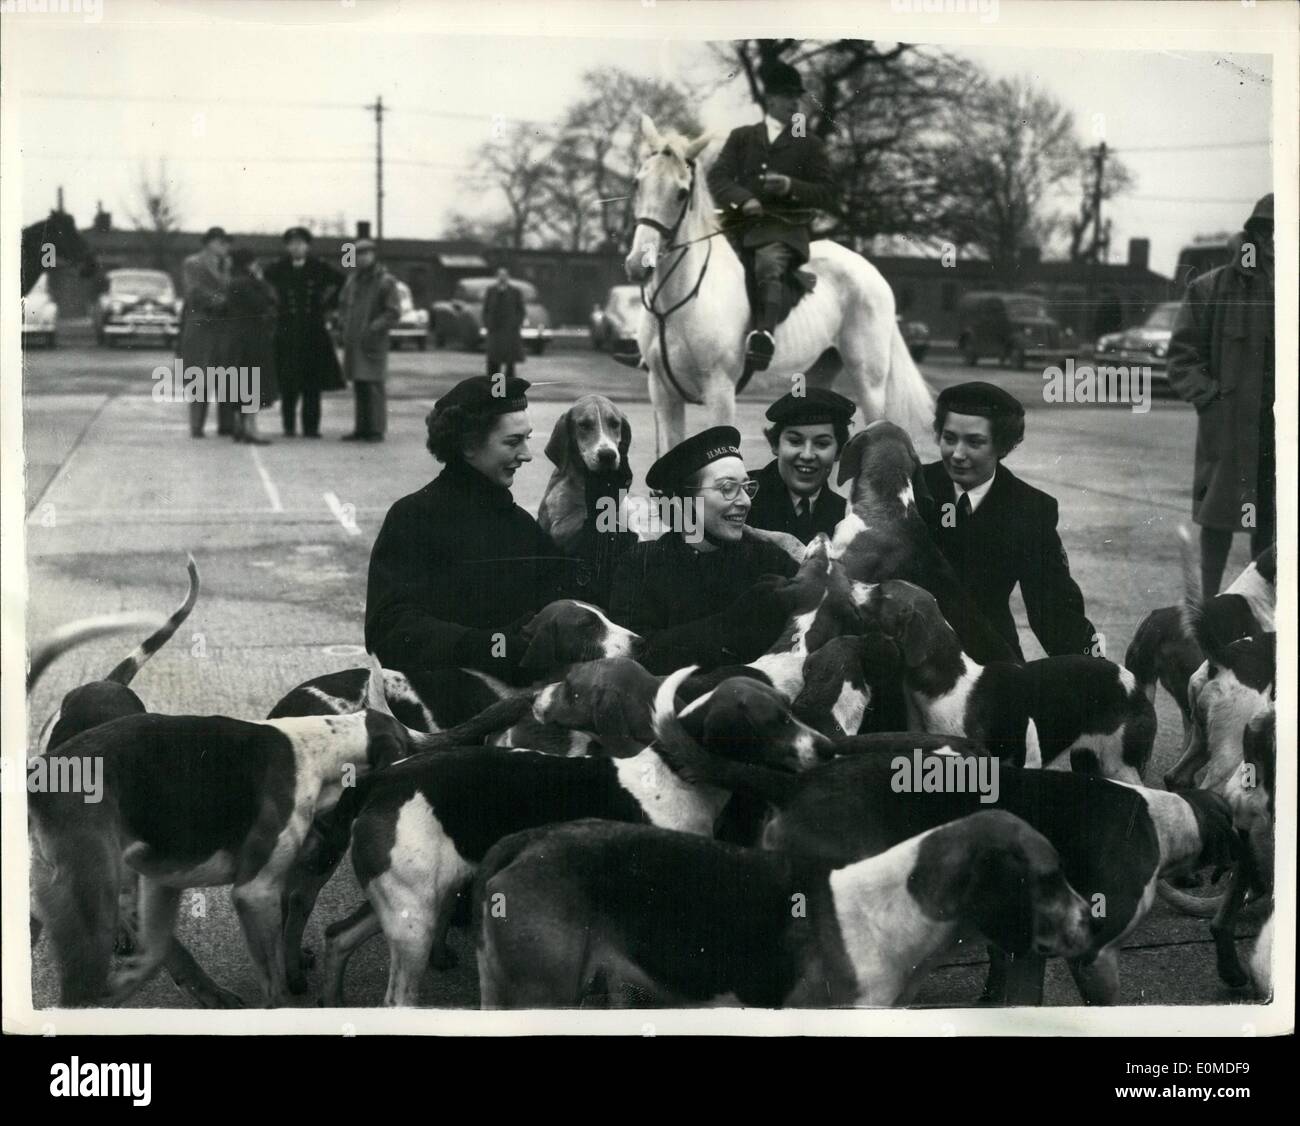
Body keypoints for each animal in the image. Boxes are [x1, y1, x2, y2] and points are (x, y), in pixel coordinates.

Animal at [621, 118, 935, 457]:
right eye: (637, 183)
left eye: (681, 193)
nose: (638, 264)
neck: (676, 302)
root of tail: (872, 271)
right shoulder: (663, 393)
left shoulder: (719, 390)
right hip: (821, 371)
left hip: (870, 381)